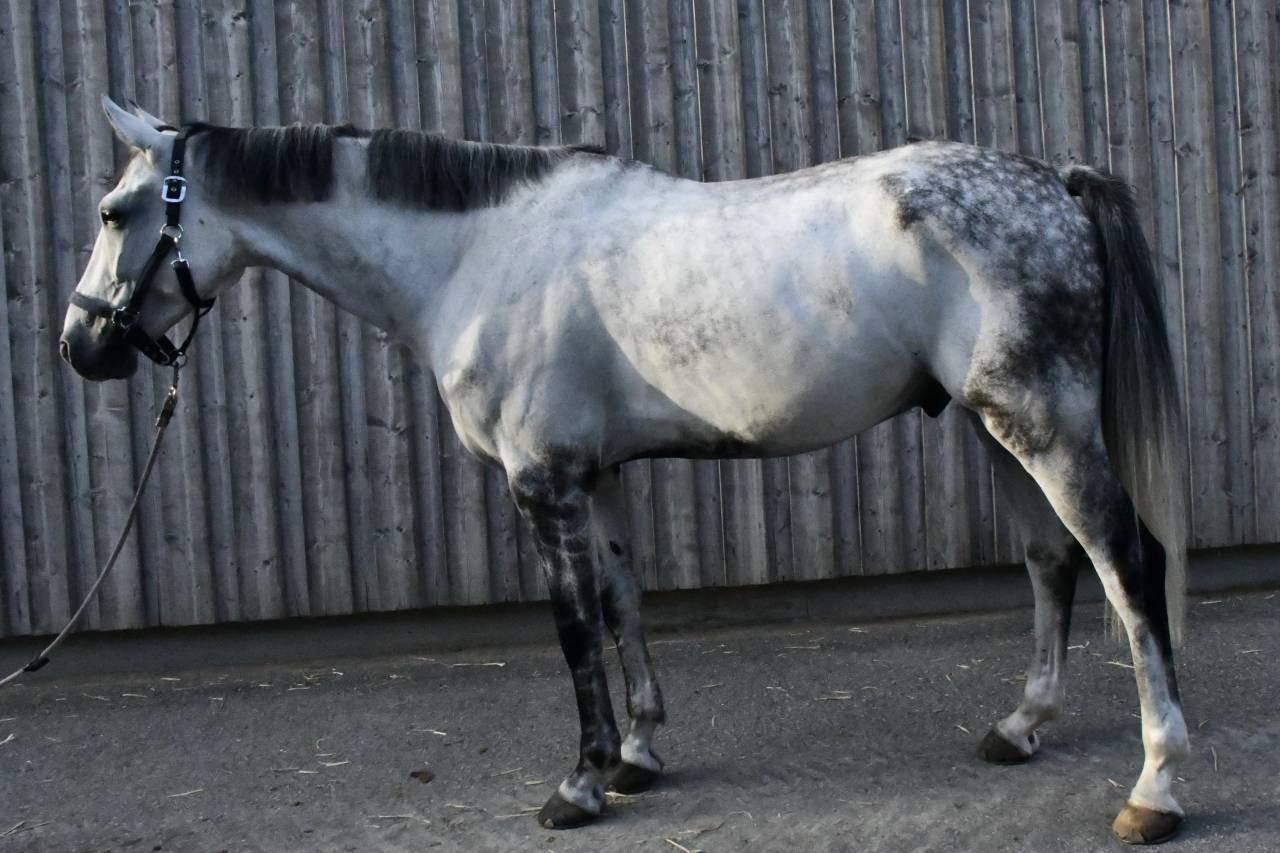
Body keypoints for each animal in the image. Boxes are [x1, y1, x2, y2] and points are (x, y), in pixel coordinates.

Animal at [61, 96, 1190, 844]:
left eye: (116, 212)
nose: (81, 346)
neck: (477, 252)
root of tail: (1054, 182)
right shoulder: (594, 474)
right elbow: (620, 601)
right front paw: (641, 754)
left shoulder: (539, 478)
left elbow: (570, 628)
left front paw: (580, 781)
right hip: (996, 426)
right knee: (1053, 562)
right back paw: (1019, 726)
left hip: (1040, 421)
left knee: (1127, 560)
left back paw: (1155, 787)